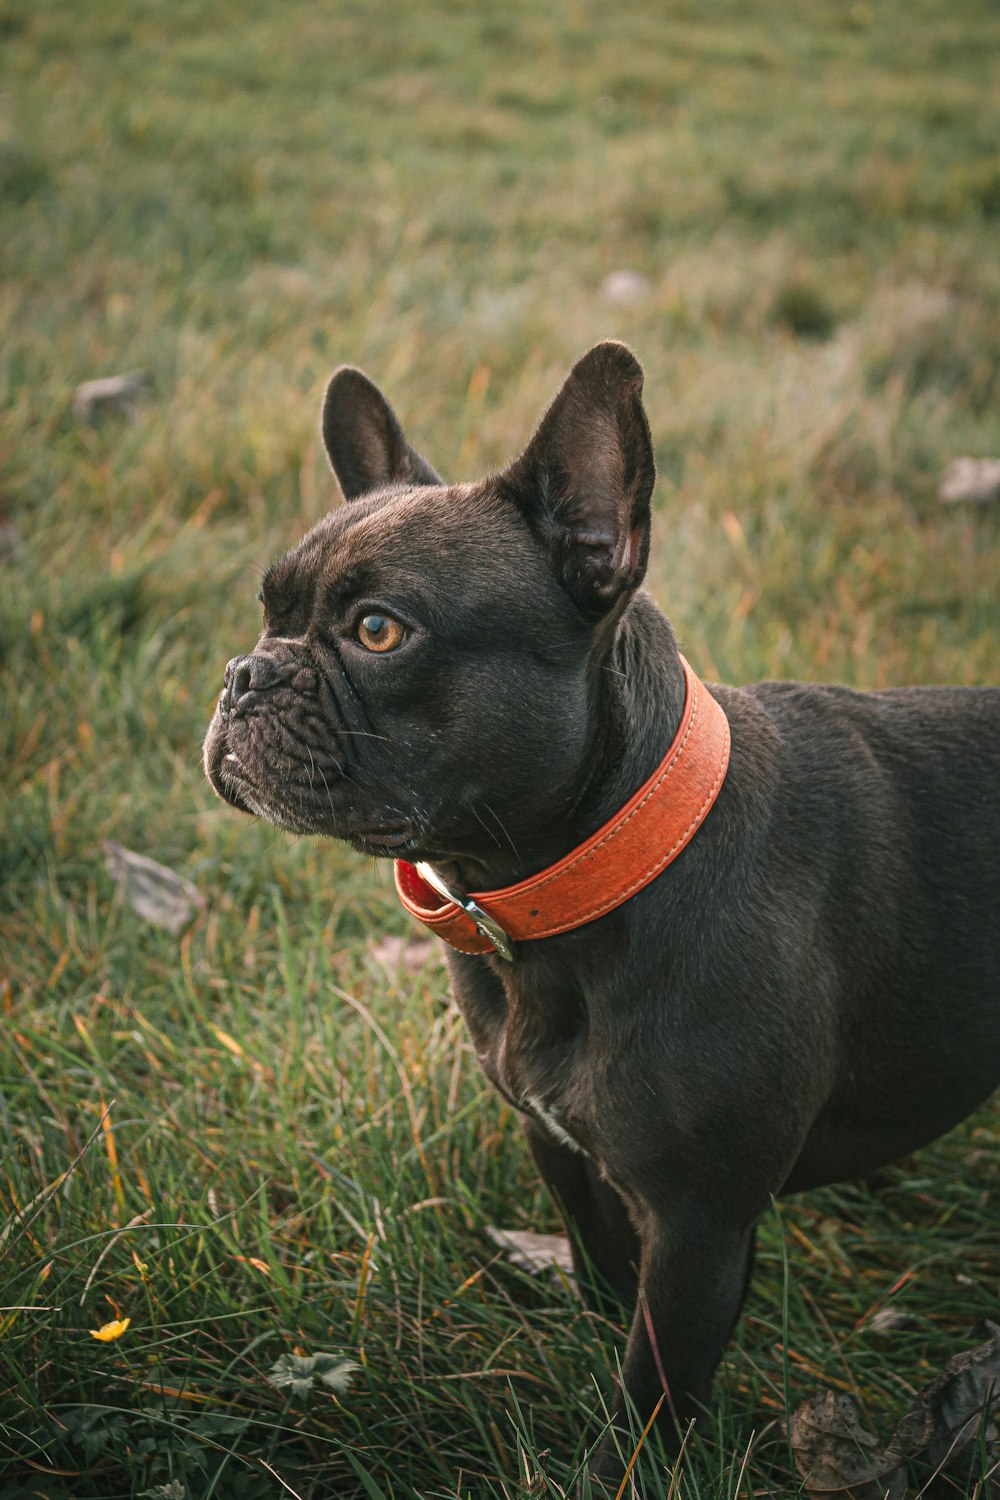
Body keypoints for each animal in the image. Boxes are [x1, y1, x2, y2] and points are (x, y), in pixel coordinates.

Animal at [203, 343, 1000, 1488]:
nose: (243, 674)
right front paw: (584, 1336)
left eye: (378, 631)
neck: (576, 884)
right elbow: (598, 1271)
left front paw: (629, 1462)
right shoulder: (561, 1150)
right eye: (268, 613)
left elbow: (654, 1382)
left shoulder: (700, 1230)